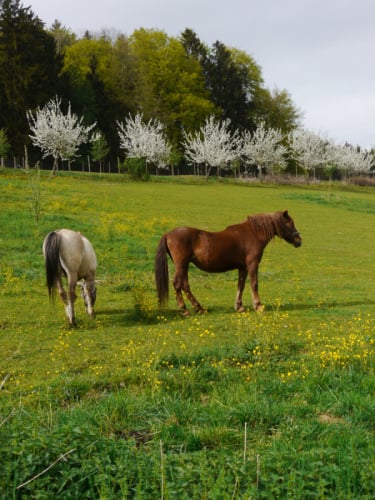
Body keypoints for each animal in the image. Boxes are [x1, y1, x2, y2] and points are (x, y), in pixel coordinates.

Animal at [155, 209, 302, 314]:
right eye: (290, 224)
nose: (299, 241)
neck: (253, 233)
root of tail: (168, 234)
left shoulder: (243, 267)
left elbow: (241, 285)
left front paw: (239, 306)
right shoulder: (252, 264)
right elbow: (254, 284)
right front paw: (258, 306)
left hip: (184, 266)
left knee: (185, 285)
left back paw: (199, 308)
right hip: (181, 265)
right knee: (177, 284)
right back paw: (184, 310)